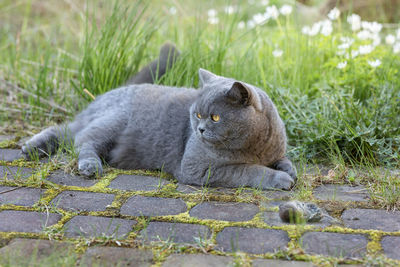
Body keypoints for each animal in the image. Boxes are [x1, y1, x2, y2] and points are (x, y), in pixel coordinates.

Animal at [22, 43, 296, 191]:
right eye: (198, 115)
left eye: (216, 117)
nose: (200, 130)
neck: (252, 147)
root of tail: (105, 95)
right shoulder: (196, 167)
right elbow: (245, 170)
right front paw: (279, 178)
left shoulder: (275, 150)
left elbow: (283, 159)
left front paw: (289, 170)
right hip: (114, 121)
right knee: (82, 140)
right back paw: (89, 166)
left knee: (66, 131)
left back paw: (31, 148)